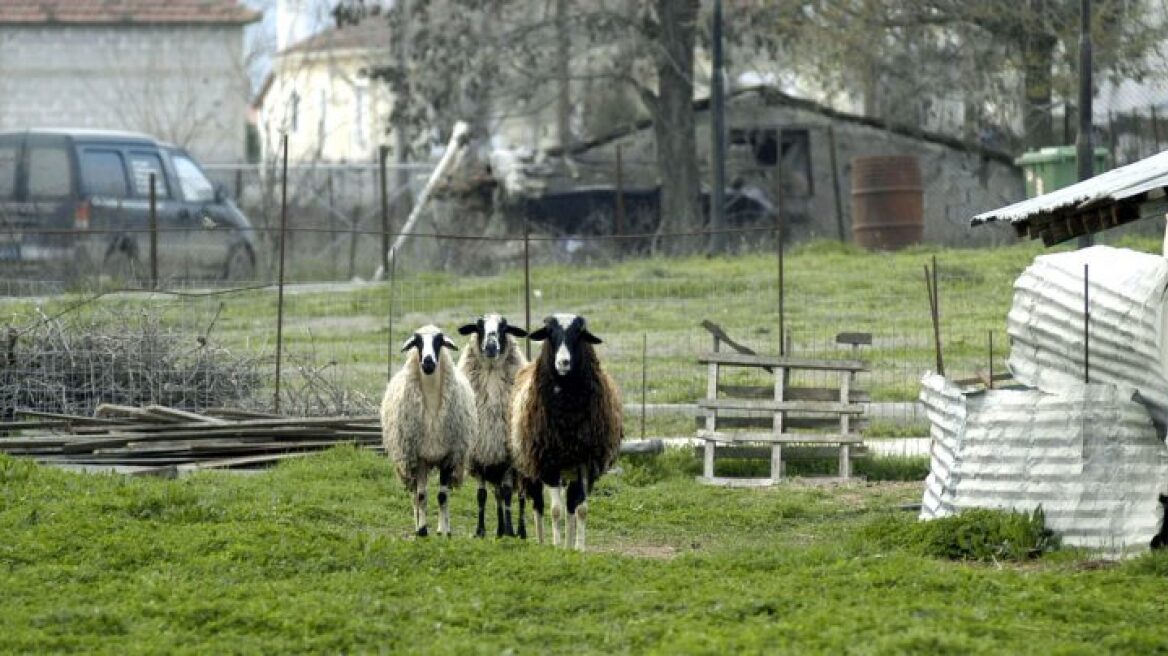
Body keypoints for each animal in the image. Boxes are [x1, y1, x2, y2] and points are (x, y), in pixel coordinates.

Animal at [380, 322, 476, 536]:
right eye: (417, 342)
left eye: (439, 341)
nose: (428, 363)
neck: (431, 402)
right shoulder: (418, 457)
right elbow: (422, 495)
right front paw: (423, 530)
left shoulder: (448, 456)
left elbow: (443, 496)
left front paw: (445, 531)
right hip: (408, 462)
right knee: (415, 494)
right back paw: (417, 525)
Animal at [455, 312, 530, 536]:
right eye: (479, 327)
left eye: (504, 327)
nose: (490, 346)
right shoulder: (480, 456)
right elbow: (482, 495)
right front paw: (480, 531)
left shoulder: (508, 457)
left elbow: (507, 494)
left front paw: (510, 531)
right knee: (496, 495)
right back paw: (498, 530)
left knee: (520, 497)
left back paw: (520, 531)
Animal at [509, 310, 621, 546]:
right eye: (550, 333)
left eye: (579, 334)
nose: (563, 362)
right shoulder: (549, 462)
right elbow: (555, 511)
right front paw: (556, 546)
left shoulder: (585, 462)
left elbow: (581, 509)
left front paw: (578, 548)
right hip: (530, 465)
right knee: (538, 505)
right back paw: (543, 542)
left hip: (569, 469)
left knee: (570, 505)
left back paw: (569, 544)